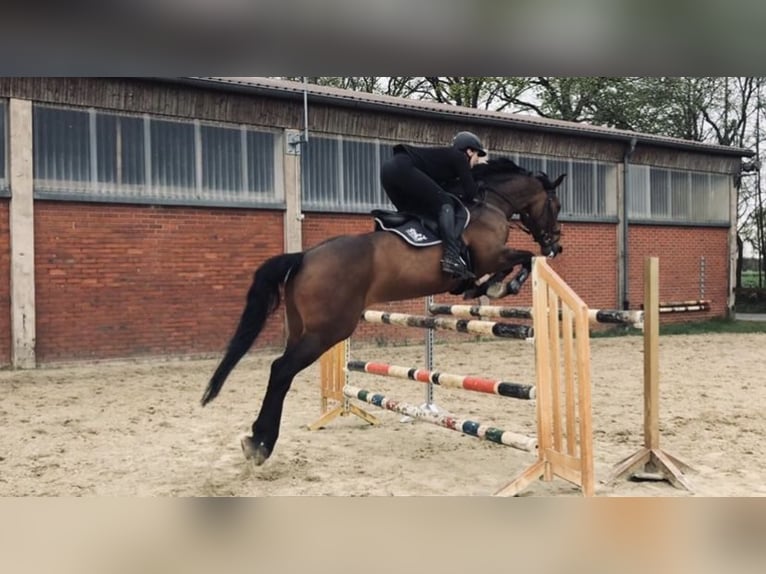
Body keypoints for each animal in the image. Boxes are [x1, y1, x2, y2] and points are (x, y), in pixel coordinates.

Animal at [201, 158, 568, 468]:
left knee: (280, 372)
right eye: (556, 206)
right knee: (281, 371)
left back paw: (257, 439)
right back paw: (261, 445)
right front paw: (498, 287)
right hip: (328, 331)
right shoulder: (492, 255)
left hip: (303, 328)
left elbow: (510, 264)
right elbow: (522, 258)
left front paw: (481, 288)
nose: (556, 246)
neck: (491, 203)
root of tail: (304, 257)